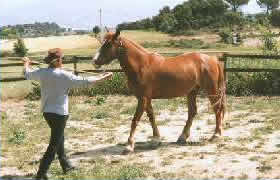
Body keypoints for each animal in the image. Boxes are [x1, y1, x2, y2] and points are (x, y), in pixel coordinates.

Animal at [93, 29, 226, 152]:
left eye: (108, 44)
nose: (94, 61)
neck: (141, 65)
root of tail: (213, 59)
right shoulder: (146, 98)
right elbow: (151, 117)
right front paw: (156, 139)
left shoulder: (142, 98)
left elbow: (135, 120)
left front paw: (129, 145)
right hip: (192, 92)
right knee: (192, 112)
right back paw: (182, 137)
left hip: (211, 90)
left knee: (217, 109)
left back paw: (216, 135)